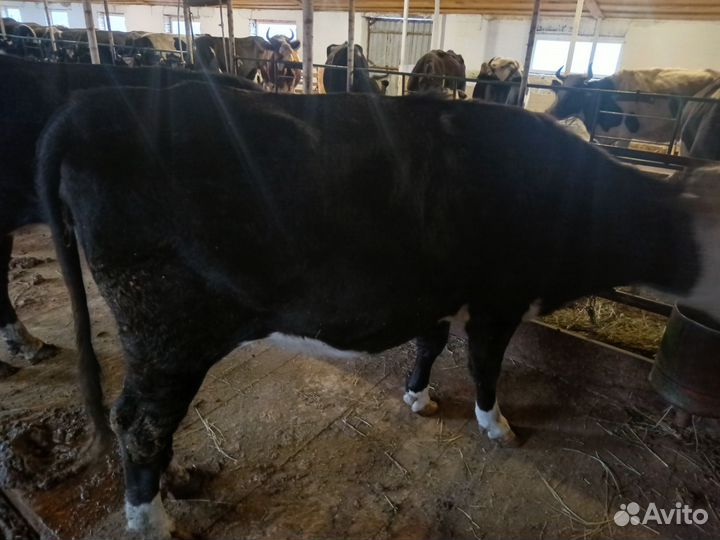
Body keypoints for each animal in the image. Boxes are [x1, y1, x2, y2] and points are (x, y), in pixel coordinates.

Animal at [35, 81, 720, 538]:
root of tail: (90, 104)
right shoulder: (498, 300)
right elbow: (485, 367)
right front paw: (496, 425)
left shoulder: (439, 296)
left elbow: (430, 345)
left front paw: (418, 397)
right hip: (166, 332)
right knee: (140, 424)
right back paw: (152, 519)